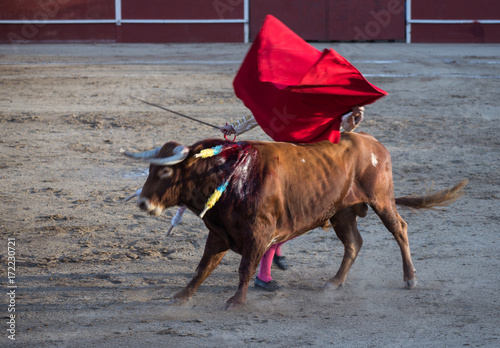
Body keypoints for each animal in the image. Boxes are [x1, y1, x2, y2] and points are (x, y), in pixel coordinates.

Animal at [123, 132, 466, 308]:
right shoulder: (219, 232)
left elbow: (244, 266)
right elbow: (203, 266)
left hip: (381, 199)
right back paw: (334, 282)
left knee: (399, 230)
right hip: (341, 212)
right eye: (151, 169)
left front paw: (237, 301)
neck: (229, 175)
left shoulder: (258, 233)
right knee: (353, 243)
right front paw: (181, 295)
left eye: (164, 171)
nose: (143, 202)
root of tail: (374, 144)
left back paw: (409, 278)